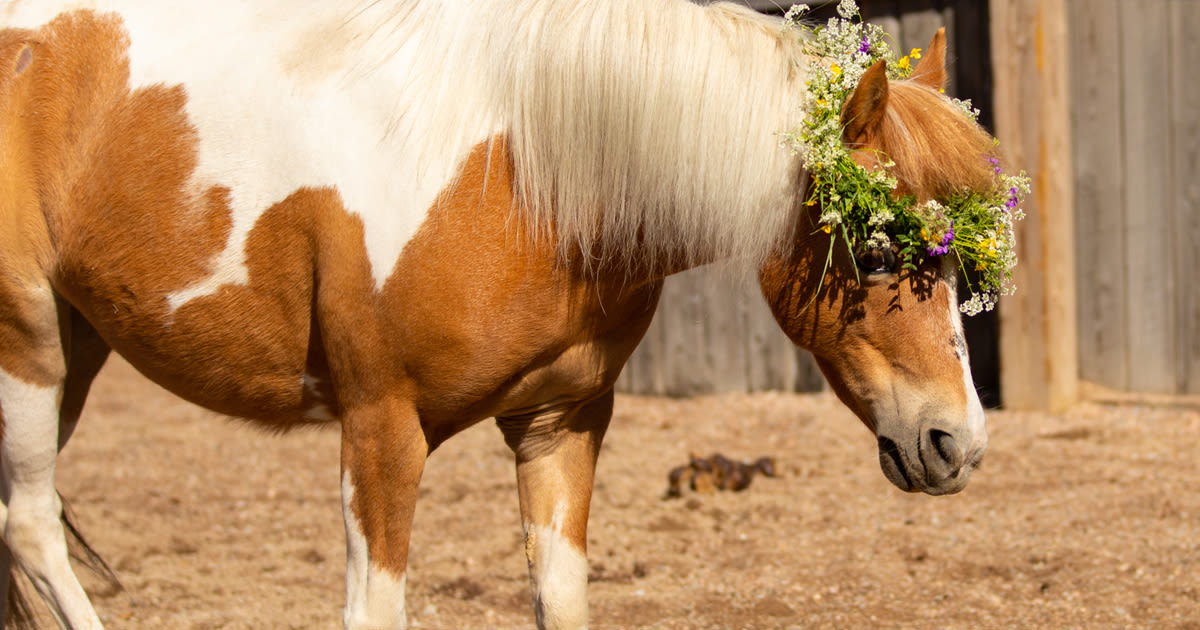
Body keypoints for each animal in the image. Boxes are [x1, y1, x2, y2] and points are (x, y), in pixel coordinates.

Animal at [0, 1, 993, 628]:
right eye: (875, 252)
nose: (958, 443)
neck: (521, 177)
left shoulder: (559, 423)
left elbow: (562, 599)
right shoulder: (380, 433)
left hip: (78, 351)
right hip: (30, 349)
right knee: (34, 526)